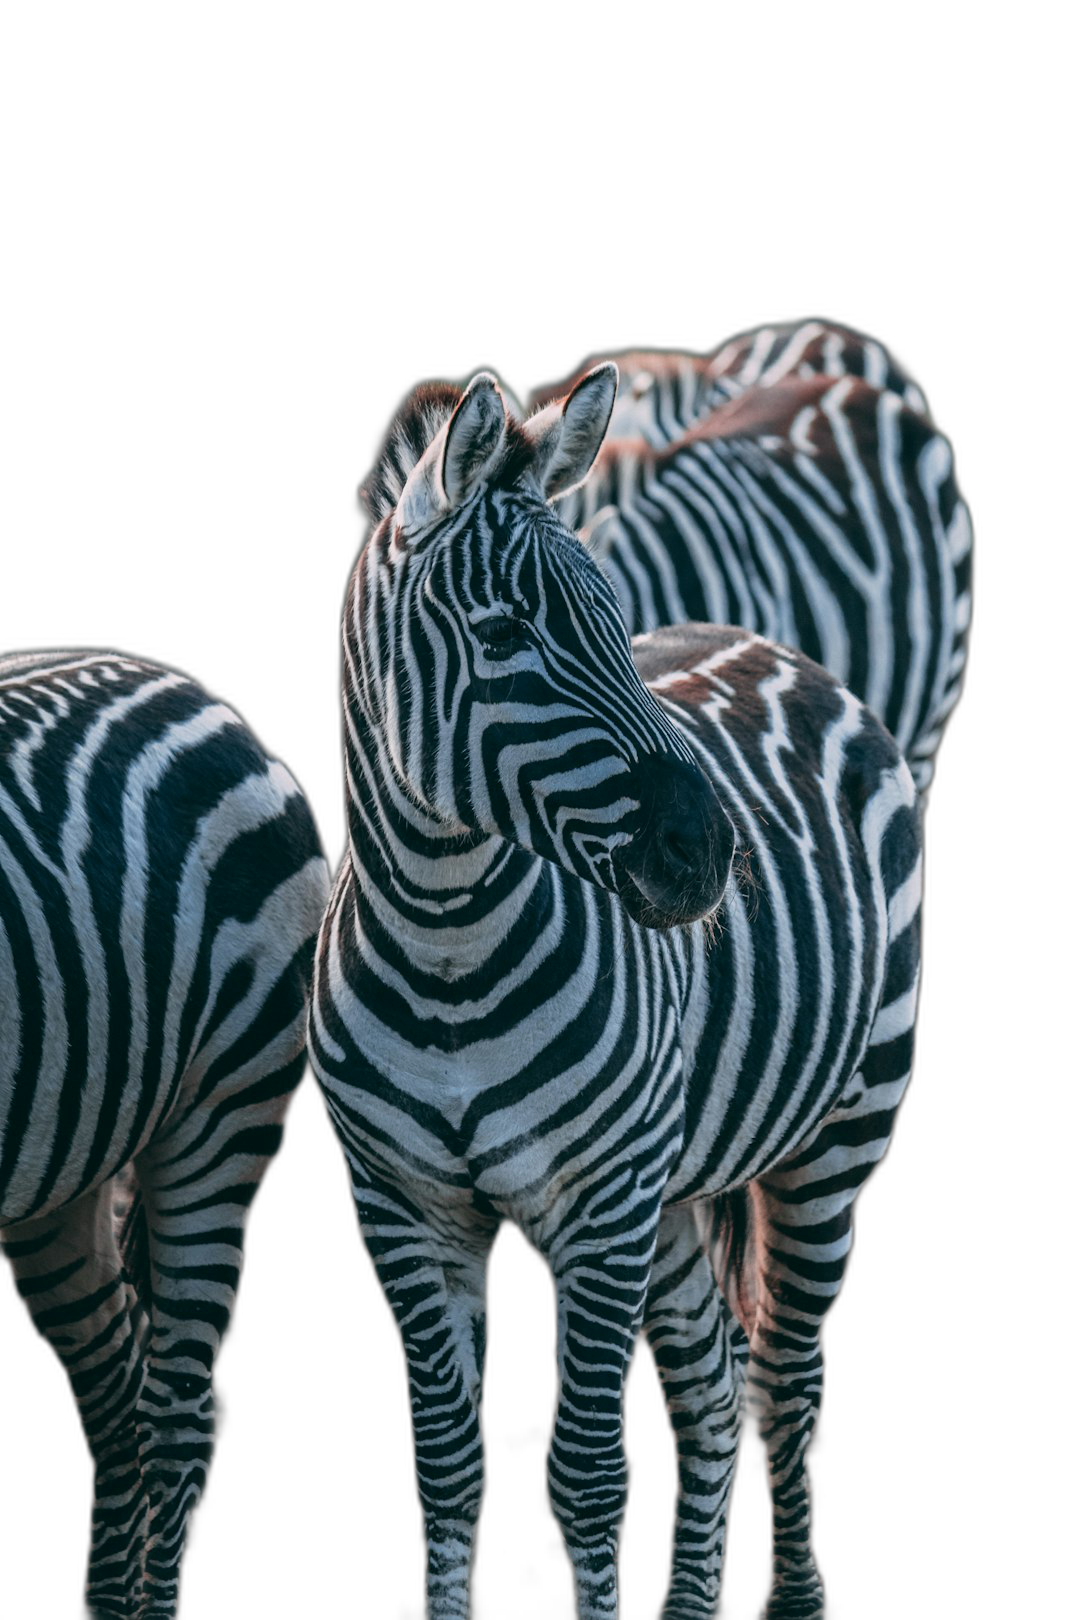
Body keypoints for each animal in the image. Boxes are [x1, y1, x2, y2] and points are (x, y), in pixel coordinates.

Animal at [307, 367, 926, 1620]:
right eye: (503, 633)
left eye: (608, 621)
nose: (709, 856)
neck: (446, 951)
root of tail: (777, 646)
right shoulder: (402, 1207)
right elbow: (450, 1471)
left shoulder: (600, 1206)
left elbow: (587, 1477)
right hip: (678, 1185)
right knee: (709, 1380)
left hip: (833, 1141)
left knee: (786, 1372)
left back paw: (796, 1599)